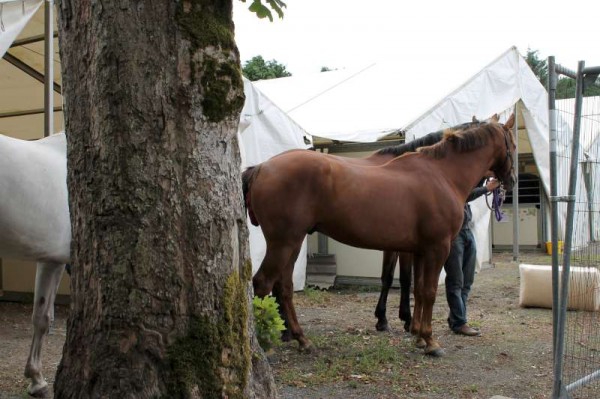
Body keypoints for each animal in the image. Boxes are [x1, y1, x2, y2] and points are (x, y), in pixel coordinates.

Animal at [244, 115, 516, 356]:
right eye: (512, 146)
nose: (511, 181)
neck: (441, 173)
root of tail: (262, 167)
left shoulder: (420, 250)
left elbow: (417, 289)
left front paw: (417, 335)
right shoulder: (438, 248)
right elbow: (428, 291)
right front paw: (429, 341)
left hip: (294, 243)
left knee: (284, 287)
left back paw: (301, 339)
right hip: (283, 243)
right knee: (262, 283)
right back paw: (264, 345)